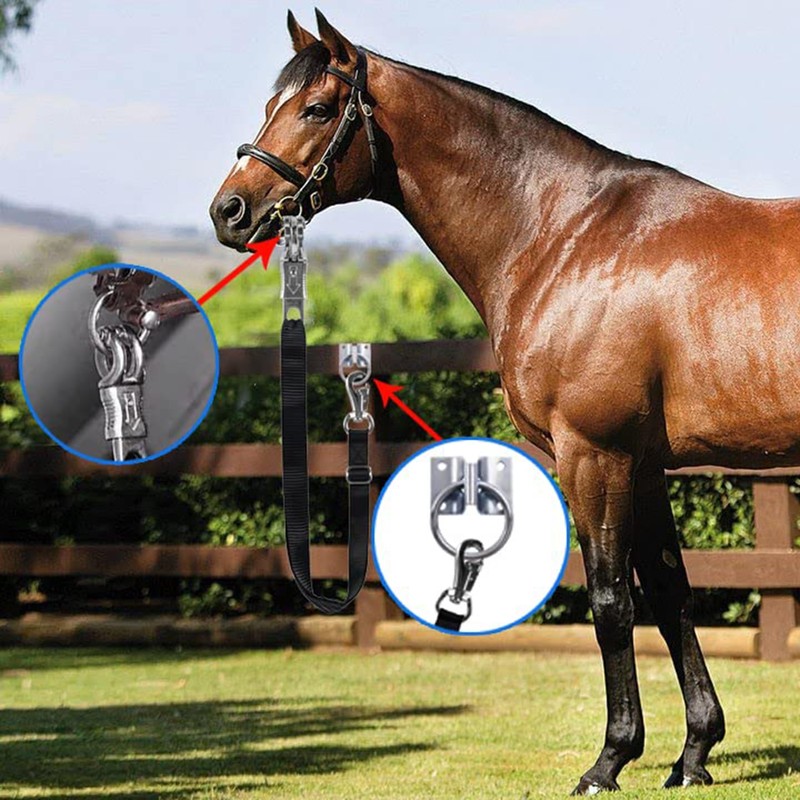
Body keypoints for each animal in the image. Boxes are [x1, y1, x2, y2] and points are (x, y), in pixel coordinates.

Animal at [210, 10, 800, 794]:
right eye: (270, 105)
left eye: (316, 108)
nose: (229, 210)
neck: (563, 236)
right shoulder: (643, 467)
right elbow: (669, 592)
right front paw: (694, 754)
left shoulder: (594, 456)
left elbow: (611, 601)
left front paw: (609, 760)